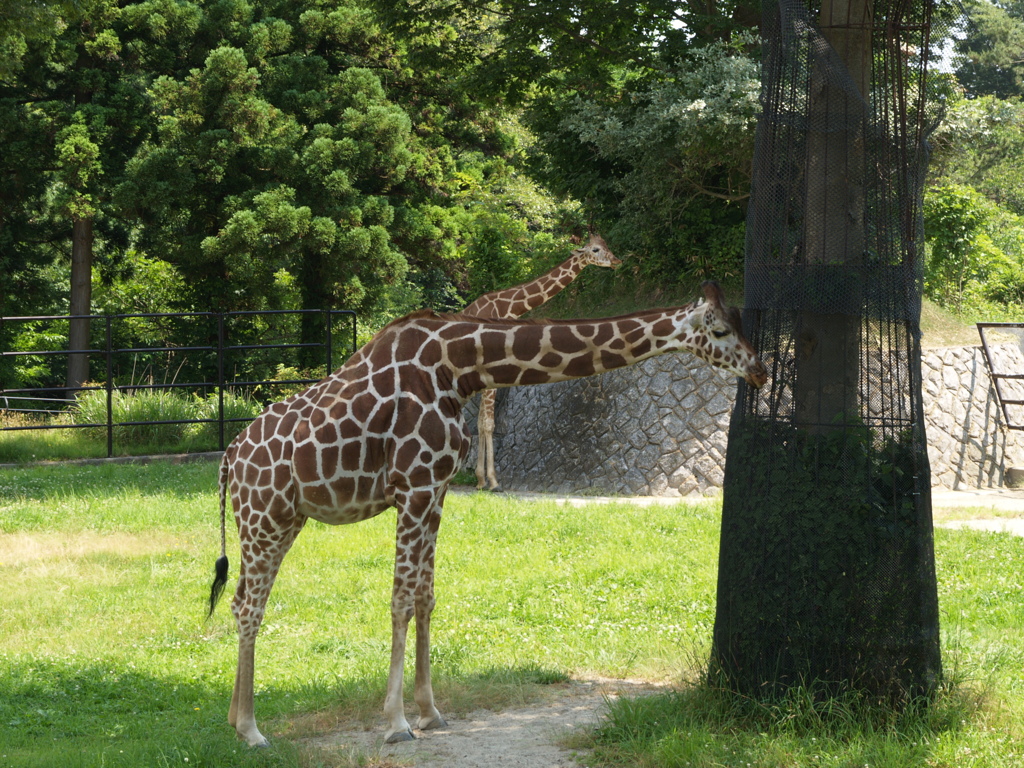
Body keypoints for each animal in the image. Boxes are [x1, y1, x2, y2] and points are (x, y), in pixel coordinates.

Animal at [209, 280, 770, 749]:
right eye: (721, 330)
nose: (760, 369)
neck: (458, 367)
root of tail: (229, 458)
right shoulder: (413, 486)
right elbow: (399, 601)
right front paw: (396, 723)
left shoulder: (435, 491)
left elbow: (426, 598)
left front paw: (431, 711)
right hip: (263, 517)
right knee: (251, 606)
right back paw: (254, 731)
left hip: (282, 520)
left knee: (238, 602)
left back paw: (234, 720)